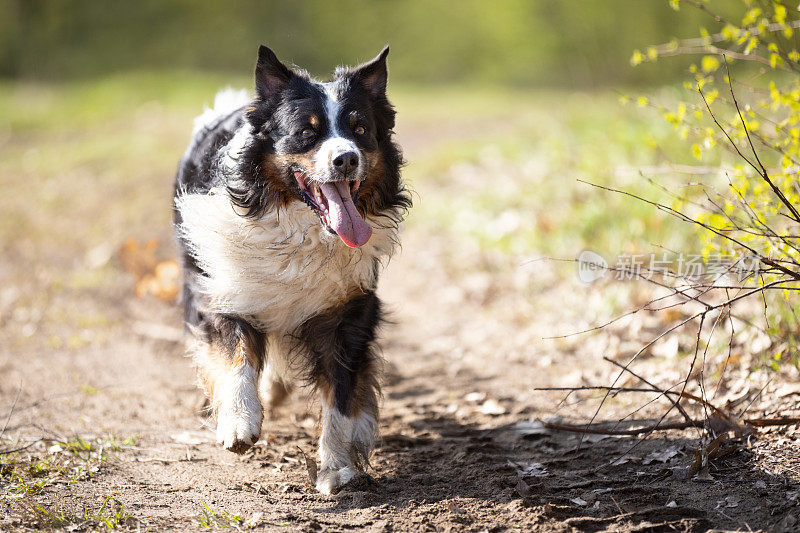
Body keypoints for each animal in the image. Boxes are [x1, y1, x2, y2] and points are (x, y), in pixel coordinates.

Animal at [175, 46, 412, 494]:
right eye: (306, 132)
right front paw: (239, 423)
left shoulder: (349, 311)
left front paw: (337, 466)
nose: (346, 159)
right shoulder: (223, 288)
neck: (301, 230)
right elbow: (236, 356)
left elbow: (341, 395)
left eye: (360, 129)